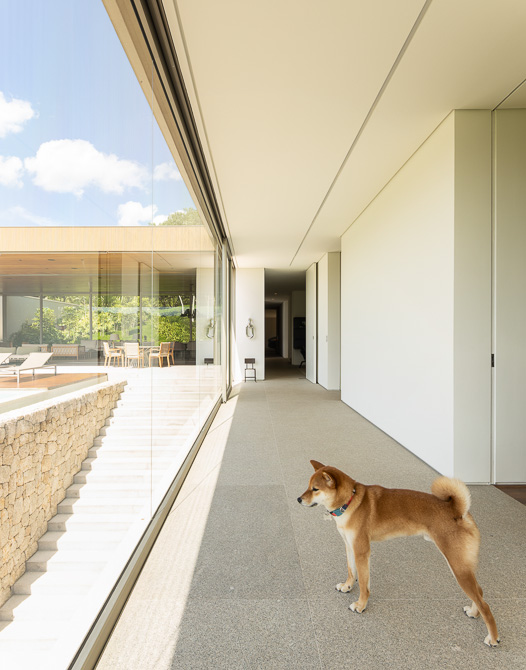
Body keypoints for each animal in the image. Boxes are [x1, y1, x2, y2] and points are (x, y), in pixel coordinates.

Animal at [297, 460, 499, 647]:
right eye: (308, 486)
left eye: (315, 489)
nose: (299, 499)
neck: (350, 503)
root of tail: (457, 511)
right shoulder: (349, 545)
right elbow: (351, 571)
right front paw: (347, 586)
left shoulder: (362, 551)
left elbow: (363, 584)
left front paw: (361, 605)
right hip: (462, 565)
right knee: (480, 592)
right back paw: (473, 612)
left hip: (457, 566)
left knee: (484, 603)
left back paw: (493, 637)